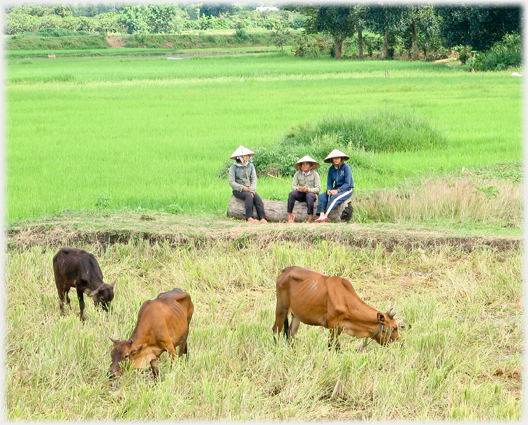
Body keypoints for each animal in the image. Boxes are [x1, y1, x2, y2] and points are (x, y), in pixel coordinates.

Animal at [272, 264, 400, 348]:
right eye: (394, 328)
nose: (398, 342)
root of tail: (286, 270)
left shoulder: (338, 329)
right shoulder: (333, 327)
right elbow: (334, 347)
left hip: (296, 315)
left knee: (291, 334)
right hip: (281, 309)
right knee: (276, 330)